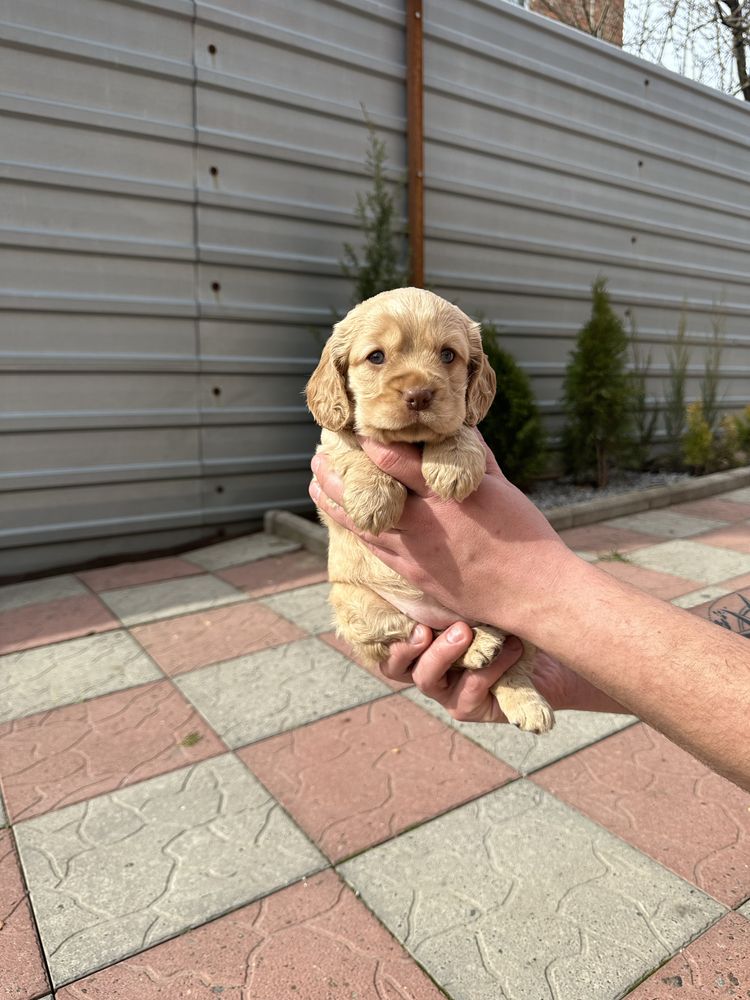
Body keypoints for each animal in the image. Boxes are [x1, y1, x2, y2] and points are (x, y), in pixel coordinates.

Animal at [306, 286, 560, 732]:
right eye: (376, 357)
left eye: (447, 355)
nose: (420, 394)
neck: (413, 443)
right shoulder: (330, 447)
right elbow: (355, 448)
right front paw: (373, 499)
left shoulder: (468, 423)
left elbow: (461, 427)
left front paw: (452, 465)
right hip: (359, 609)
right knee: (427, 639)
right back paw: (480, 647)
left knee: (510, 663)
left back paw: (512, 681)